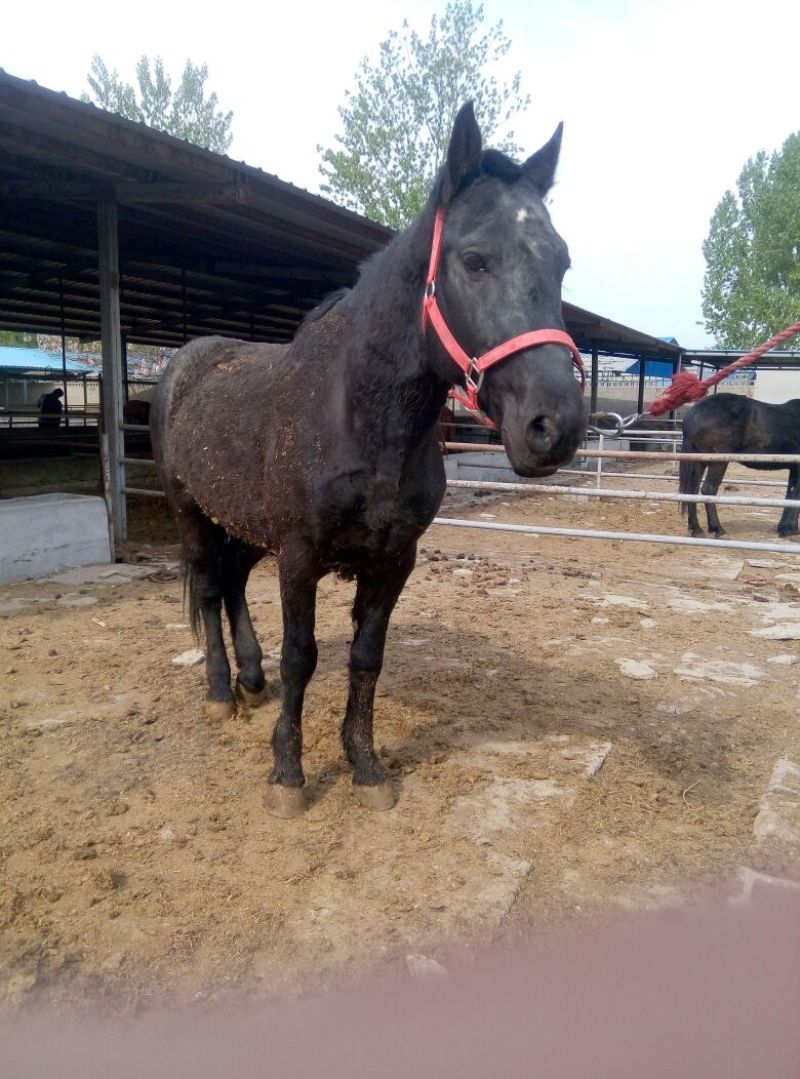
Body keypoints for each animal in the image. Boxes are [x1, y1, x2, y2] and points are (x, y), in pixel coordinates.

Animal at [151, 102, 587, 817]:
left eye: (562, 263)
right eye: (474, 260)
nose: (555, 427)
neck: (358, 416)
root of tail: (185, 364)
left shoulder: (394, 559)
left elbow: (366, 658)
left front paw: (366, 765)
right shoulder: (299, 555)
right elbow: (301, 656)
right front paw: (288, 774)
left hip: (246, 525)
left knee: (234, 584)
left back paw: (250, 679)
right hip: (191, 512)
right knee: (211, 588)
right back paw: (220, 692)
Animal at [679, 392, 800, 537]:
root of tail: (694, 411)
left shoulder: (794, 469)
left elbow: (791, 494)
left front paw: (788, 528)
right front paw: (788, 529)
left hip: (698, 461)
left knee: (692, 490)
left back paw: (696, 529)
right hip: (718, 462)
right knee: (708, 489)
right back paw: (718, 529)